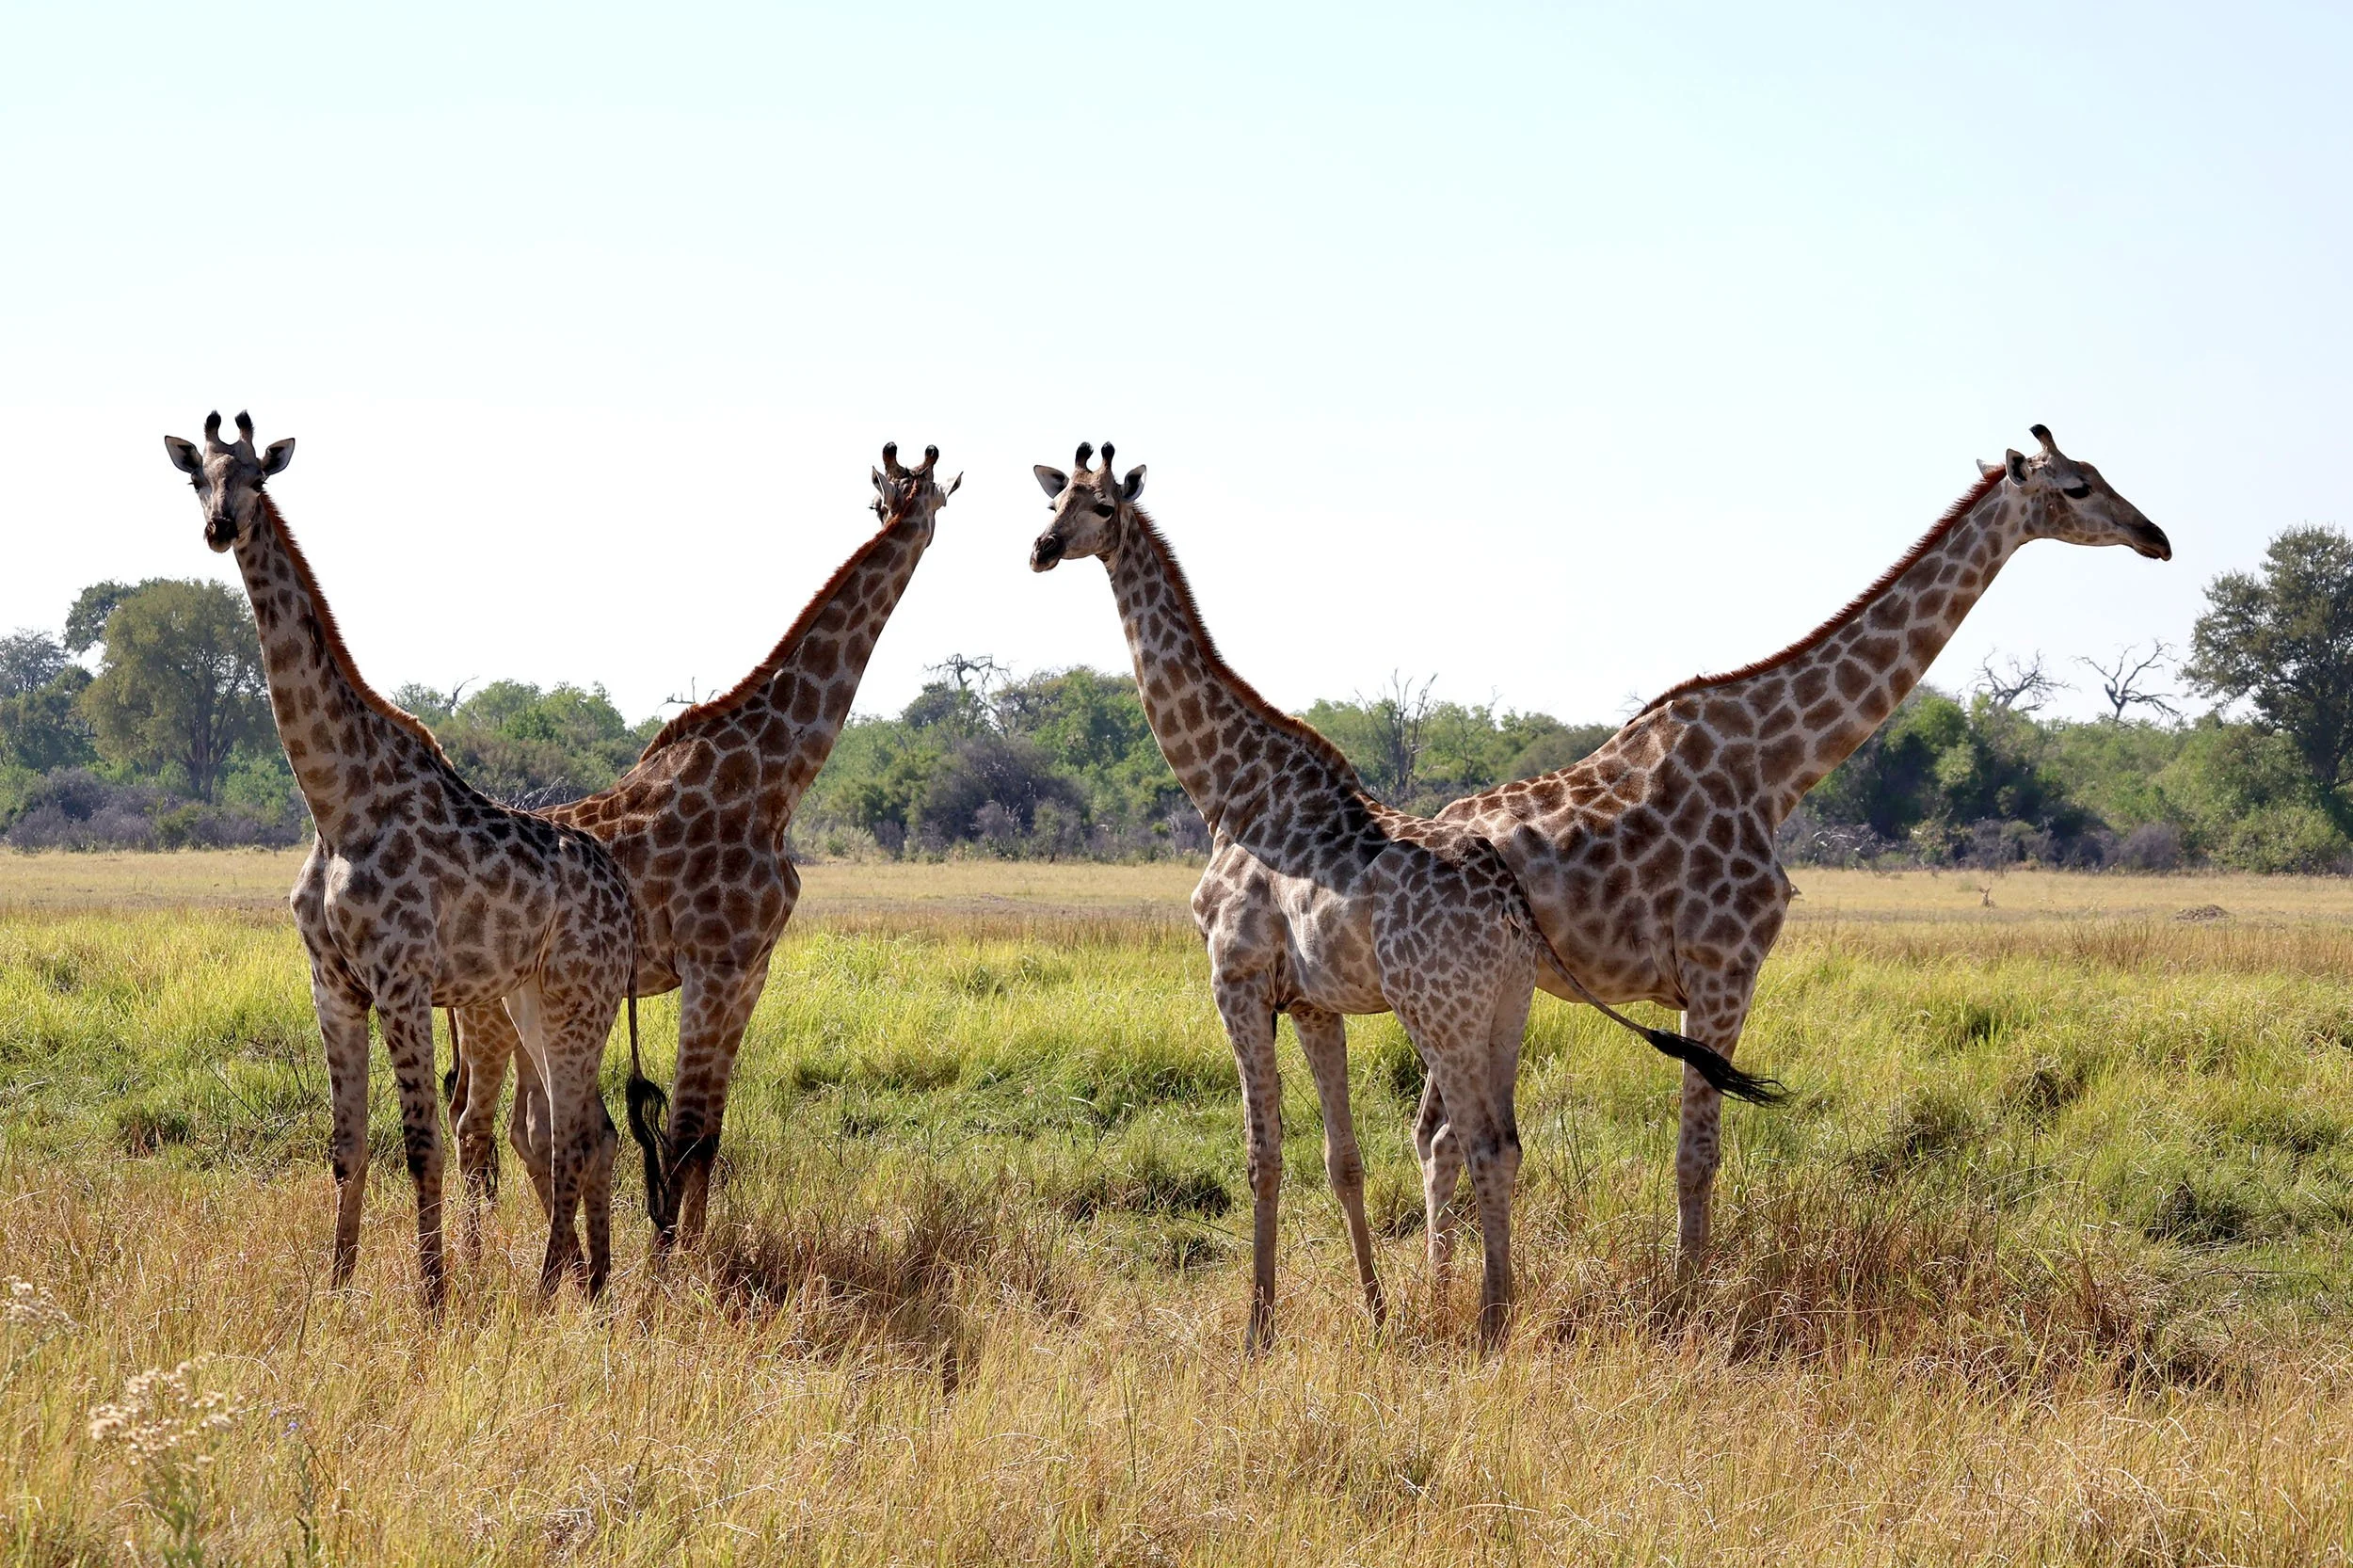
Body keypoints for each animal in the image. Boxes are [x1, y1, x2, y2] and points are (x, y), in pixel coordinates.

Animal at [163, 412, 643, 1303]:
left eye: (258, 478)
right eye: (196, 478)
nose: (220, 527)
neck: (335, 801)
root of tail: (626, 898)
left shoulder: (402, 979)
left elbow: (421, 1146)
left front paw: (433, 1299)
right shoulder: (333, 985)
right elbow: (346, 1146)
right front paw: (336, 1288)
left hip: (577, 998)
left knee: (575, 1134)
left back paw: (552, 1287)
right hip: (531, 998)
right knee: (587, 1130)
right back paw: (590, 1286)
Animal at [446, 444, 958, 1251]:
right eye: (901, 499)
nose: (909, 523)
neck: (773, 780)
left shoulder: (752, 969)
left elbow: (710, 1134)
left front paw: (698, 1248)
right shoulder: (712, 965)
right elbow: (683, 1131)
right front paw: (670, 1267)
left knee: (524, 1126)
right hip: (484, 1004)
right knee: (476, 1123)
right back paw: (475, 1254)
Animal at [1028, 443, 1778, 1349]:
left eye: (1103, 508)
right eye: (1055, 500)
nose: (1039, 549)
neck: (1230, 792)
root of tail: (1511, 904)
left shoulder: (1234, 978)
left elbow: (1262, 1155)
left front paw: (1258, 1331)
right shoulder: (1312, 1000)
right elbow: (1341, 1160)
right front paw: (1377, 1312)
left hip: (1437, 1011)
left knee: (1481, 1141)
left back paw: (1491, 1324)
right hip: (1504, 1007)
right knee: (1505, 1141)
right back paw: (1488, 1310)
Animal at [1435, 425, 2169, 1258]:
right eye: (2078, 486)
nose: (2157, 537)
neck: (1777, 771)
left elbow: (1695, 1151)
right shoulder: (1722, 968)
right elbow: (1697, 1155)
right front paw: (1689, 1289)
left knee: (1438, 1140)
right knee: (1452, 1140)